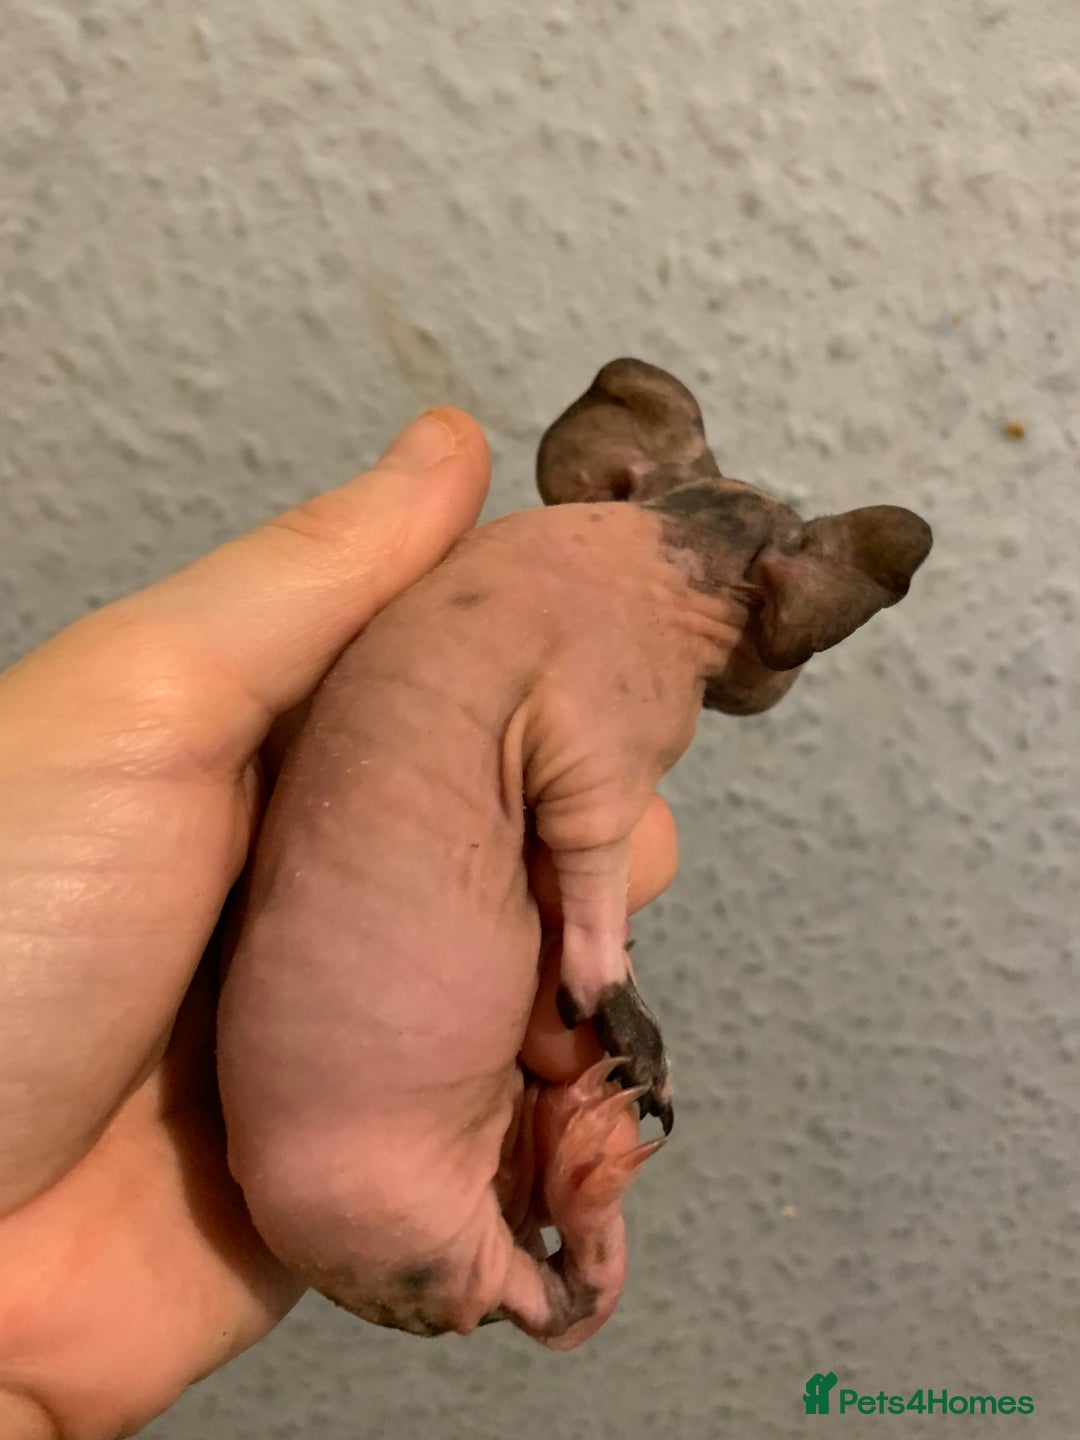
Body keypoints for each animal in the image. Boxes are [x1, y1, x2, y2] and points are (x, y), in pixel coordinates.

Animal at [217, 358, 932, 1348]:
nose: (770, 694)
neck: (671, 537)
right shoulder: (600, 740)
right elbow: (592, 869)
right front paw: (635, 1032)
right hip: (413, 1231)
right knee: (549, 1297)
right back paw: (591, 1159)